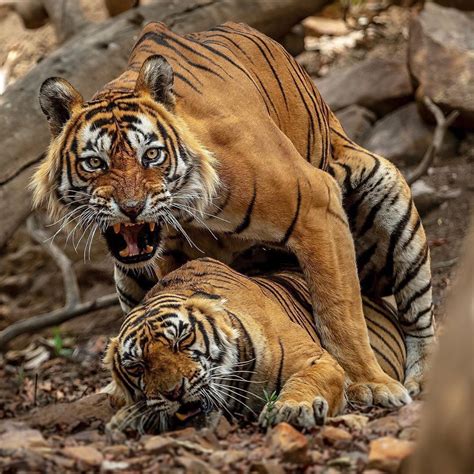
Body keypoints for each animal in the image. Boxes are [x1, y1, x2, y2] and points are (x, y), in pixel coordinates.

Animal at [30, 18, 434, 404]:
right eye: (94, 163)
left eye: (152, 155)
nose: (131, 209)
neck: (189, 211)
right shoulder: (170, 256)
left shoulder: (316, 205)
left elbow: (340, 308)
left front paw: (369, 383)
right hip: (125, 274)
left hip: (386, 192)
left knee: (418, 315)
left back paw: (421, 379)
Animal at [104, 256, 408, 434]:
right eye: (137, 366)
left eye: (182, 339)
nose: (174, 392)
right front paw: (125, 419)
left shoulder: (318, 360)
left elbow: (307, 380)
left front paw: (293, 409)